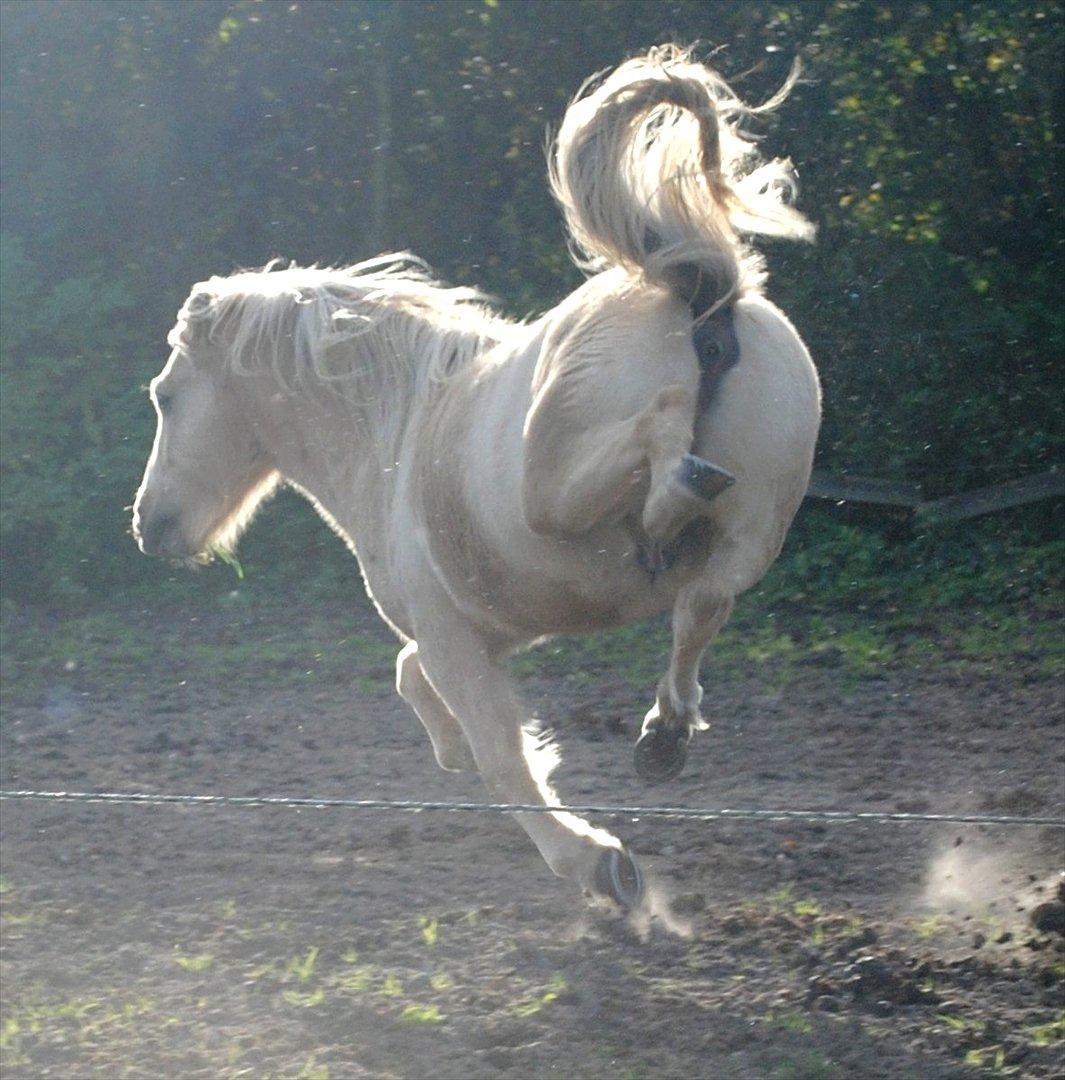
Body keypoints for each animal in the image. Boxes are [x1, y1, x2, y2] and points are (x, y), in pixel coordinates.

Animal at [130, 46, 812, 907]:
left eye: (165, 396)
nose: (149, 525)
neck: (396, 430)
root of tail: (697, 292)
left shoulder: (452, 634)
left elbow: (499, 756)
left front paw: (594, 862)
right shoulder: (491, 625)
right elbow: (411, 678)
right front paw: (453, 749)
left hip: (555, 490)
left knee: (658, 451)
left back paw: (670, 505)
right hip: (755, 528)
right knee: (703, 601)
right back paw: (664, 731)